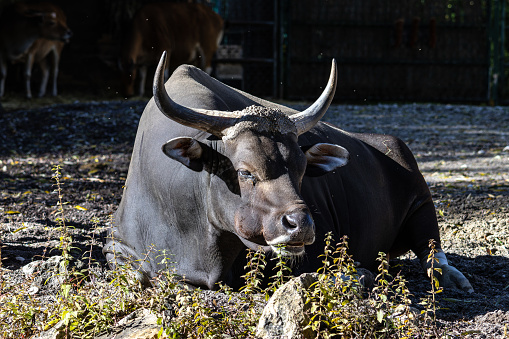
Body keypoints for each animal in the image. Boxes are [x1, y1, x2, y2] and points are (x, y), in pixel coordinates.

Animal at [103, 51, 472, 294]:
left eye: (302, 170)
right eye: (244, 172)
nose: (301, 225)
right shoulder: (116, 245)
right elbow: (140, 275)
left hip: (421, 201)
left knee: (431, 247)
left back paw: (450, 276)